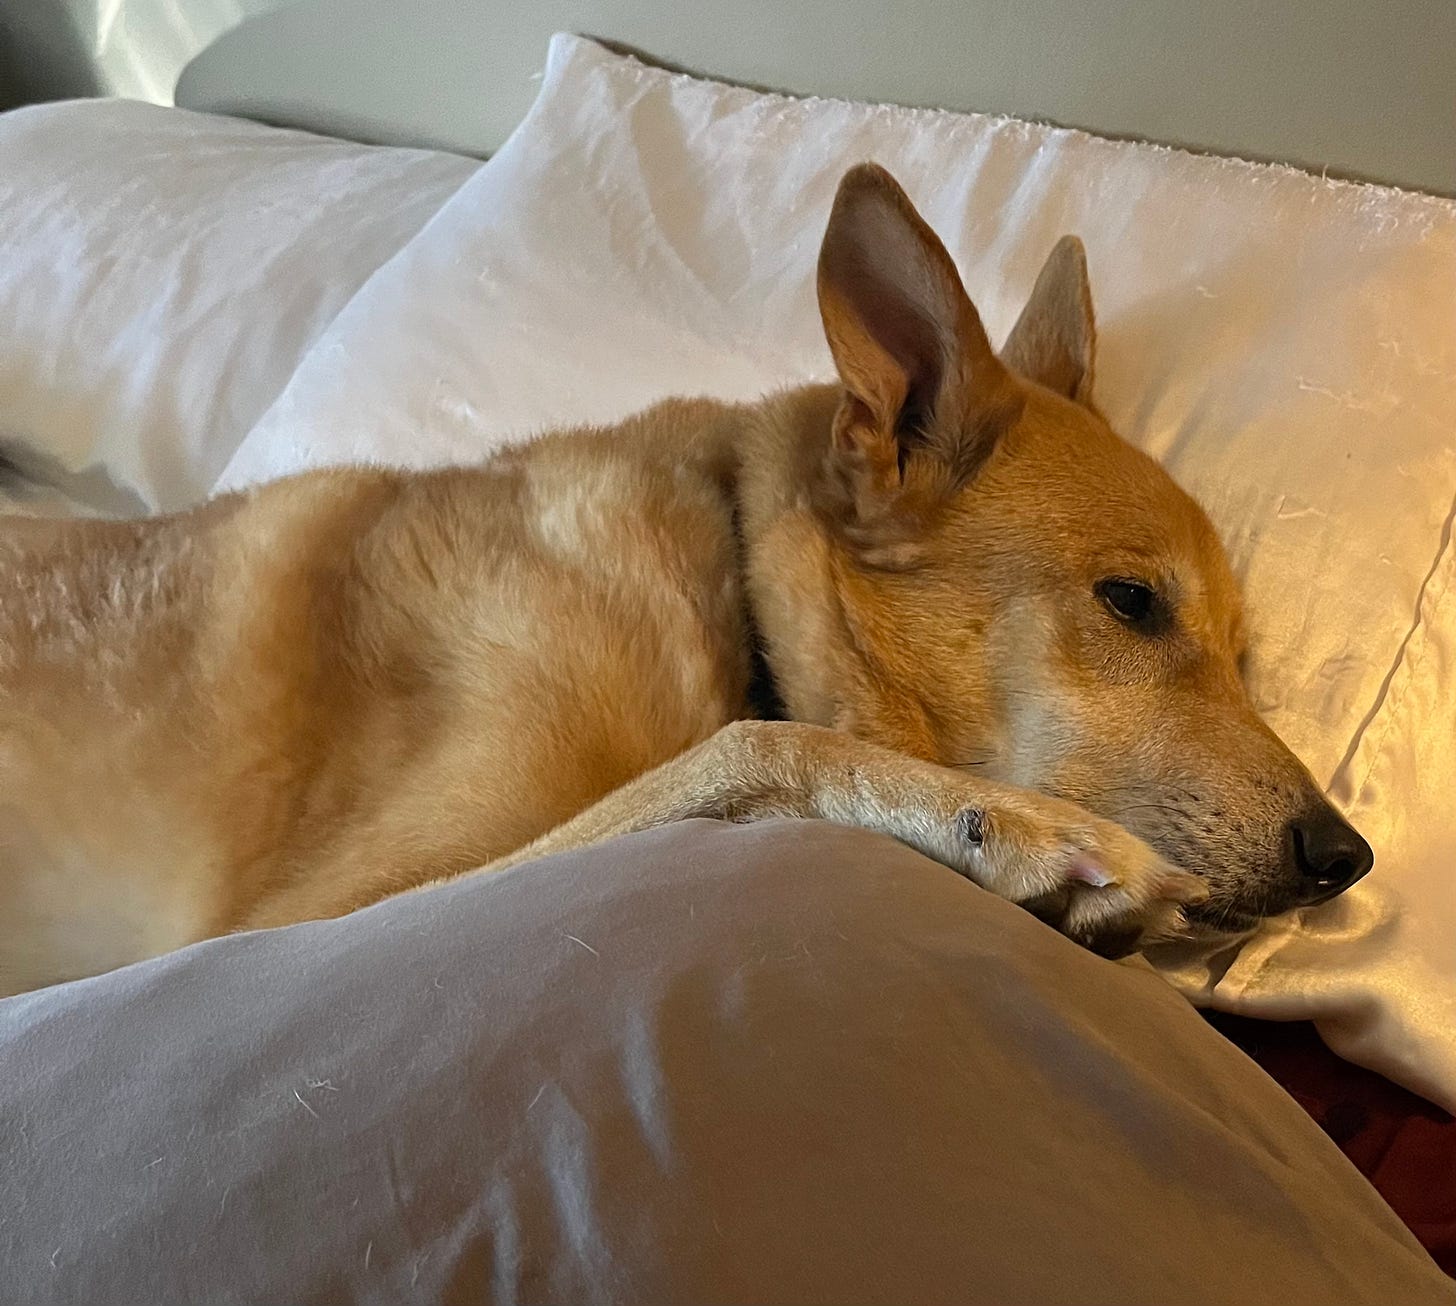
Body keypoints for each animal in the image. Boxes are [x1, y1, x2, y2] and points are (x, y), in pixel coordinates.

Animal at [0, 168, 1368, 995]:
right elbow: (753, 745)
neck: (733, 583)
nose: (1344, 856)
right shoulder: (308, 927)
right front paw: (1012, 829)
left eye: (1245, 650)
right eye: (1130, 602)